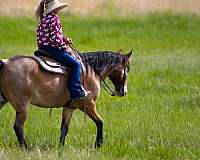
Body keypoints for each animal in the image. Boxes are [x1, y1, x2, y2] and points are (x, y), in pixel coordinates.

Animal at [0, 50, 132, 149]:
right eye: (127, 69)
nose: (124, 91)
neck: (91, 72)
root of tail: (5, 62)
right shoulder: (88, 104)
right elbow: (100, 122)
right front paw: (98, 145)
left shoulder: (69, 107)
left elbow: (64, 128)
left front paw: (61, 147)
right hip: (22, 106)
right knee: (18, 127)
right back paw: (26, 148)